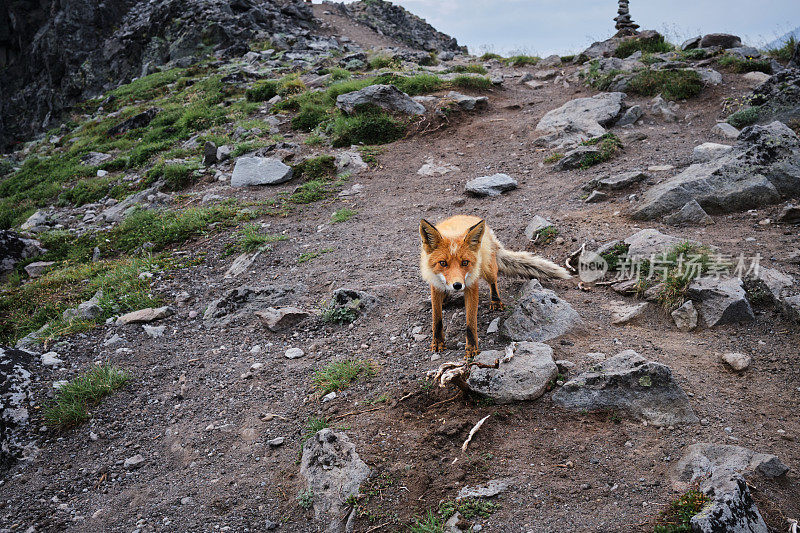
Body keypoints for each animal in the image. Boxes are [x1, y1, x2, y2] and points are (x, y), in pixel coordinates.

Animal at [418, 215, 568, 358]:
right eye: (443, 263)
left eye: (465, 262)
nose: (457, 285)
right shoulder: (435, 285)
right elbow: (437, 319)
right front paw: (437, 342)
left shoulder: (471, 285)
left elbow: (470, 322)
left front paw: (472, 348)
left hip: (487, 269)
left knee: (493, 281)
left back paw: (496, 301)